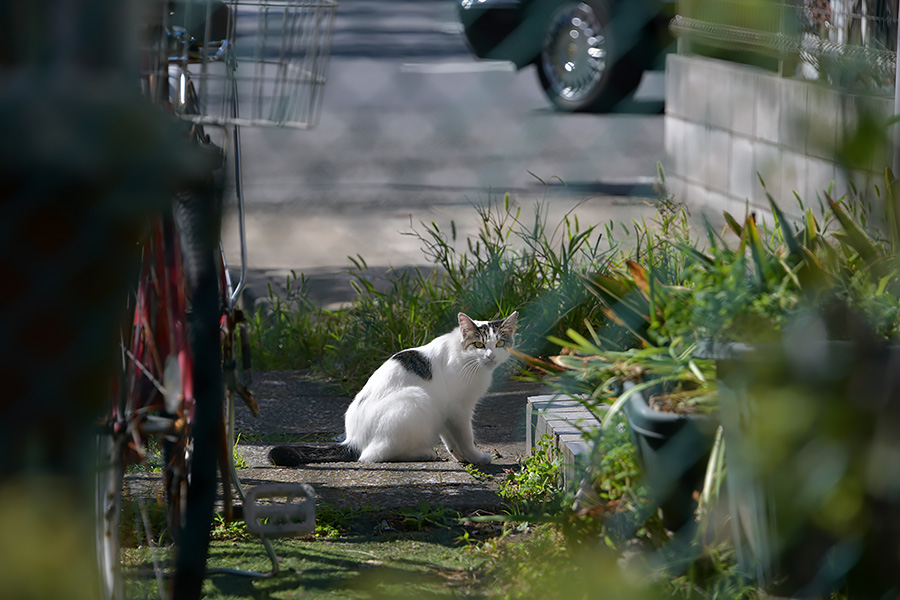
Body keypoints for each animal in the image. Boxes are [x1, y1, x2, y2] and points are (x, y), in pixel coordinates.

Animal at [268, 312, 516, 466]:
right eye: (479, 344)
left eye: (500, 344)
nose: (491, 356)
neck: (468, 360)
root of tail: (353, 440)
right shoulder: (458, 410)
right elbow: (465, 437)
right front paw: (477, 458)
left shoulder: (447, 411)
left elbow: (451, 439)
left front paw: (461, 457)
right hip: (417, 398)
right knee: (372, 456)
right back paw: (424, 454)